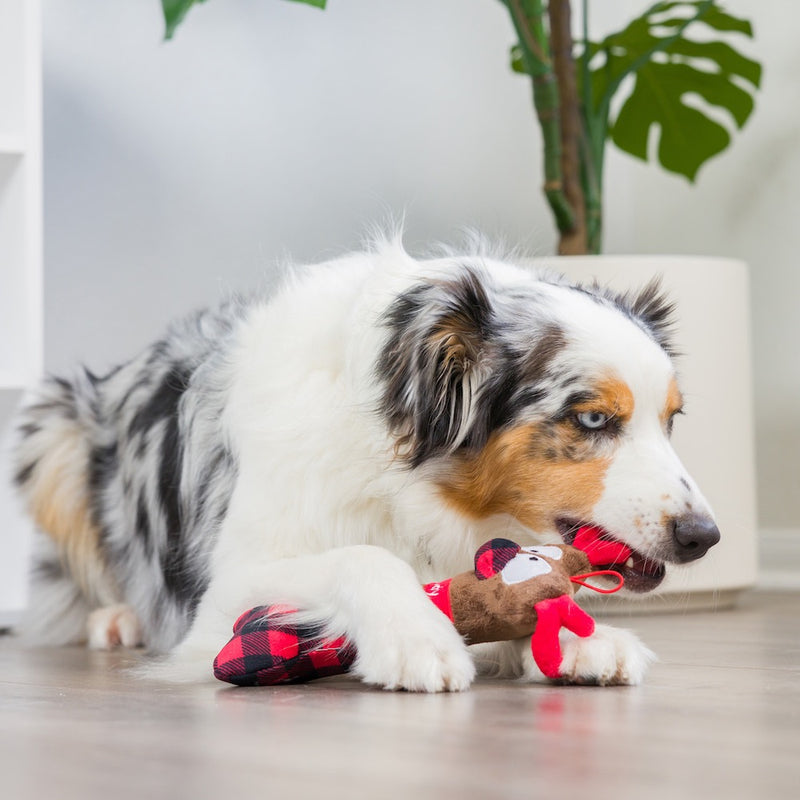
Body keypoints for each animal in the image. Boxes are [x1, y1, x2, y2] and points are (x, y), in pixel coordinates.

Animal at [10, 234, 720, 692]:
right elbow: (364, 557)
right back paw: (116, 619)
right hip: (51, 429)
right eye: (593, 420)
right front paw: (418, 639)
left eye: (671, 418)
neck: (410, 486)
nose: (704, 536)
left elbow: (535, 581)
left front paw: (583, 638)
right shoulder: (226, 589)